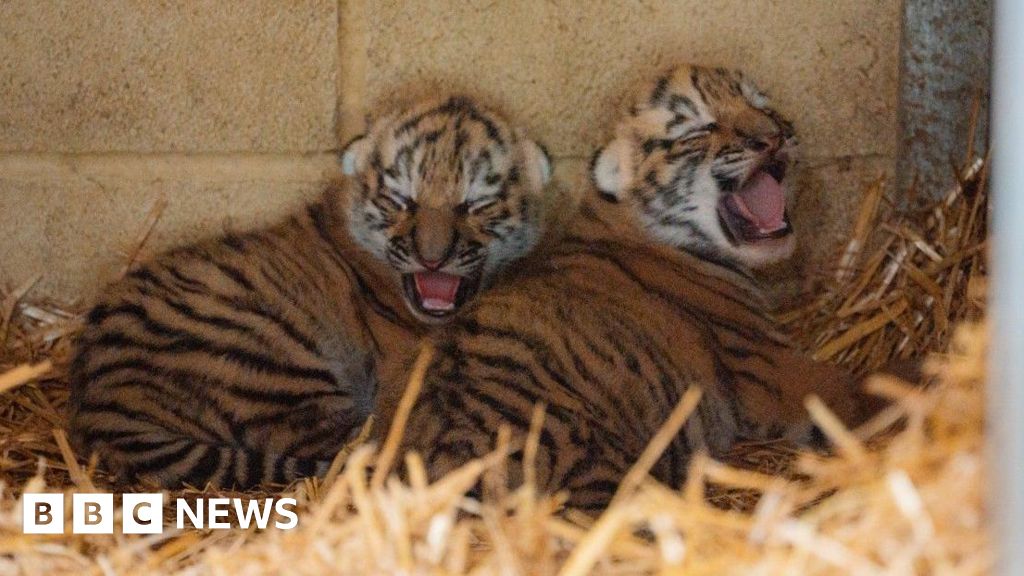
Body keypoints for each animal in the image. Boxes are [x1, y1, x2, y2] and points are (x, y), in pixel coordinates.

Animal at [67, 95, 555, 489]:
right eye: (401, 201)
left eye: (475, 204)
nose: (431, 259)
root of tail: (97, 402)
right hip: (268, 361)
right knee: (357, 443)